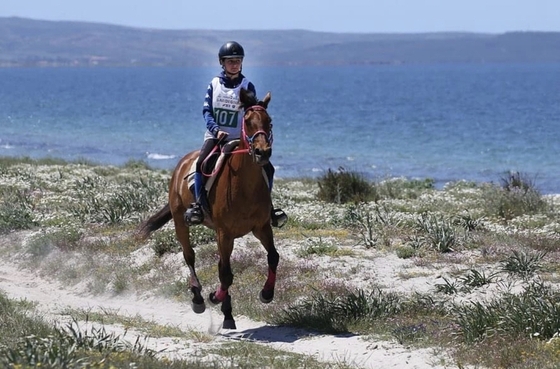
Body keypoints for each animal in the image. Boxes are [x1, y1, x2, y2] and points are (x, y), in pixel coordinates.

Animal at [138, 88, 278, 328]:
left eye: (269, 121)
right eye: (248, 121)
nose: (263, 152)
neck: (245, 186)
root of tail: (183, 163)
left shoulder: (261, 227)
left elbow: (272, 257)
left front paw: (266, 294)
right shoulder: (225, 233)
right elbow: (226, 274)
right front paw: (214, 297)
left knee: (221, 264)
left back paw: (228, 314)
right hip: (181, 222)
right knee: (189, 256)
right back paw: (199, 299)